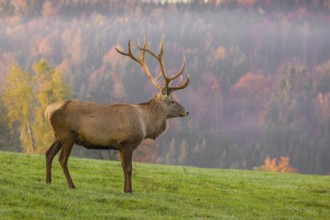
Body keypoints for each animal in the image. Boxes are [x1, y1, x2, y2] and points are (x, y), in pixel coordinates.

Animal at [43, 36, 189, 192]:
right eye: (173, 101)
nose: (187, 111)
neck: (145, 124)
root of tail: (48, 110)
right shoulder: (128, 142)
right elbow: (129, 168)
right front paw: (130, 190)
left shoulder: (119, 146)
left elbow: (123, 168)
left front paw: (125, 189)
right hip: (67, 135)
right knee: (62, 159)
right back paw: (71, 185)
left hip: (57, 136)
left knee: (48, 154)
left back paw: (48, 181)